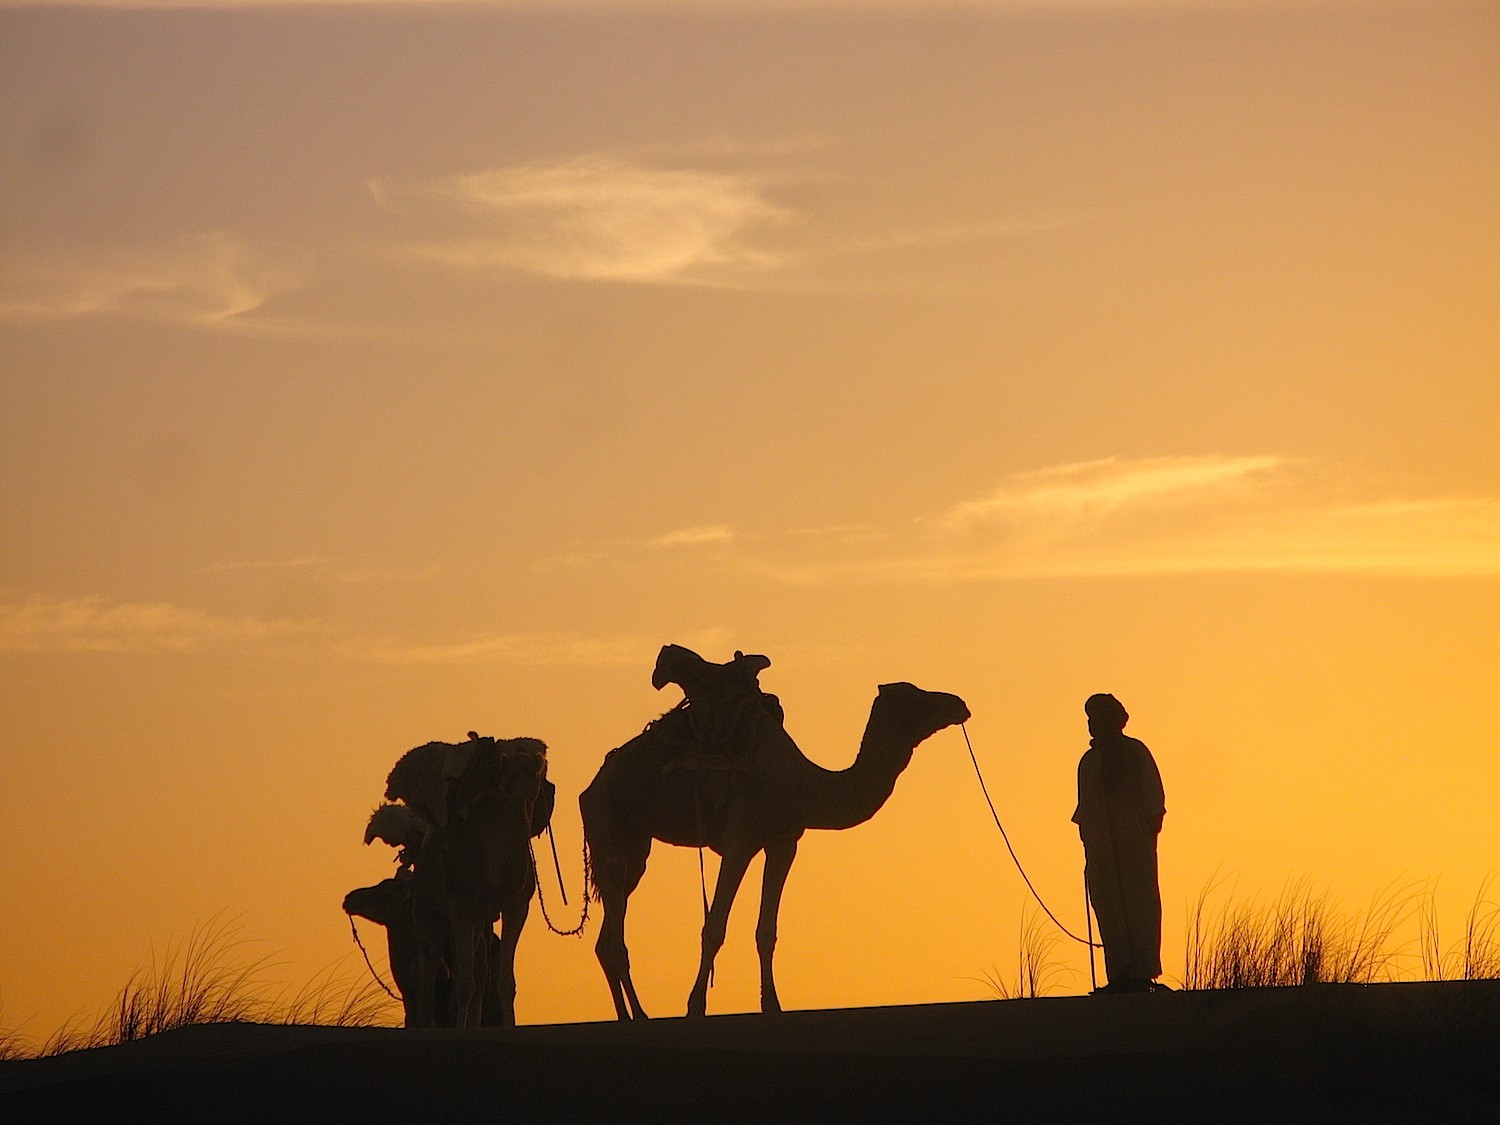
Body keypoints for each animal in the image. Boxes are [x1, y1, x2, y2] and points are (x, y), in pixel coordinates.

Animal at [573, 660, 972, 1020]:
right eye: (917, 696)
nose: (959, 704)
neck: (803, 784)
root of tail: (593, 783)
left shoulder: (783, 842)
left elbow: (767, 931)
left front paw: (772, 1005)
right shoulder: (740, 839)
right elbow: (713, 928)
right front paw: (695, 1007)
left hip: (635, 843)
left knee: (608, 933)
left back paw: (633, 1015)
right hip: (606, 820)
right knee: (614, 934)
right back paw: (637, 1016)